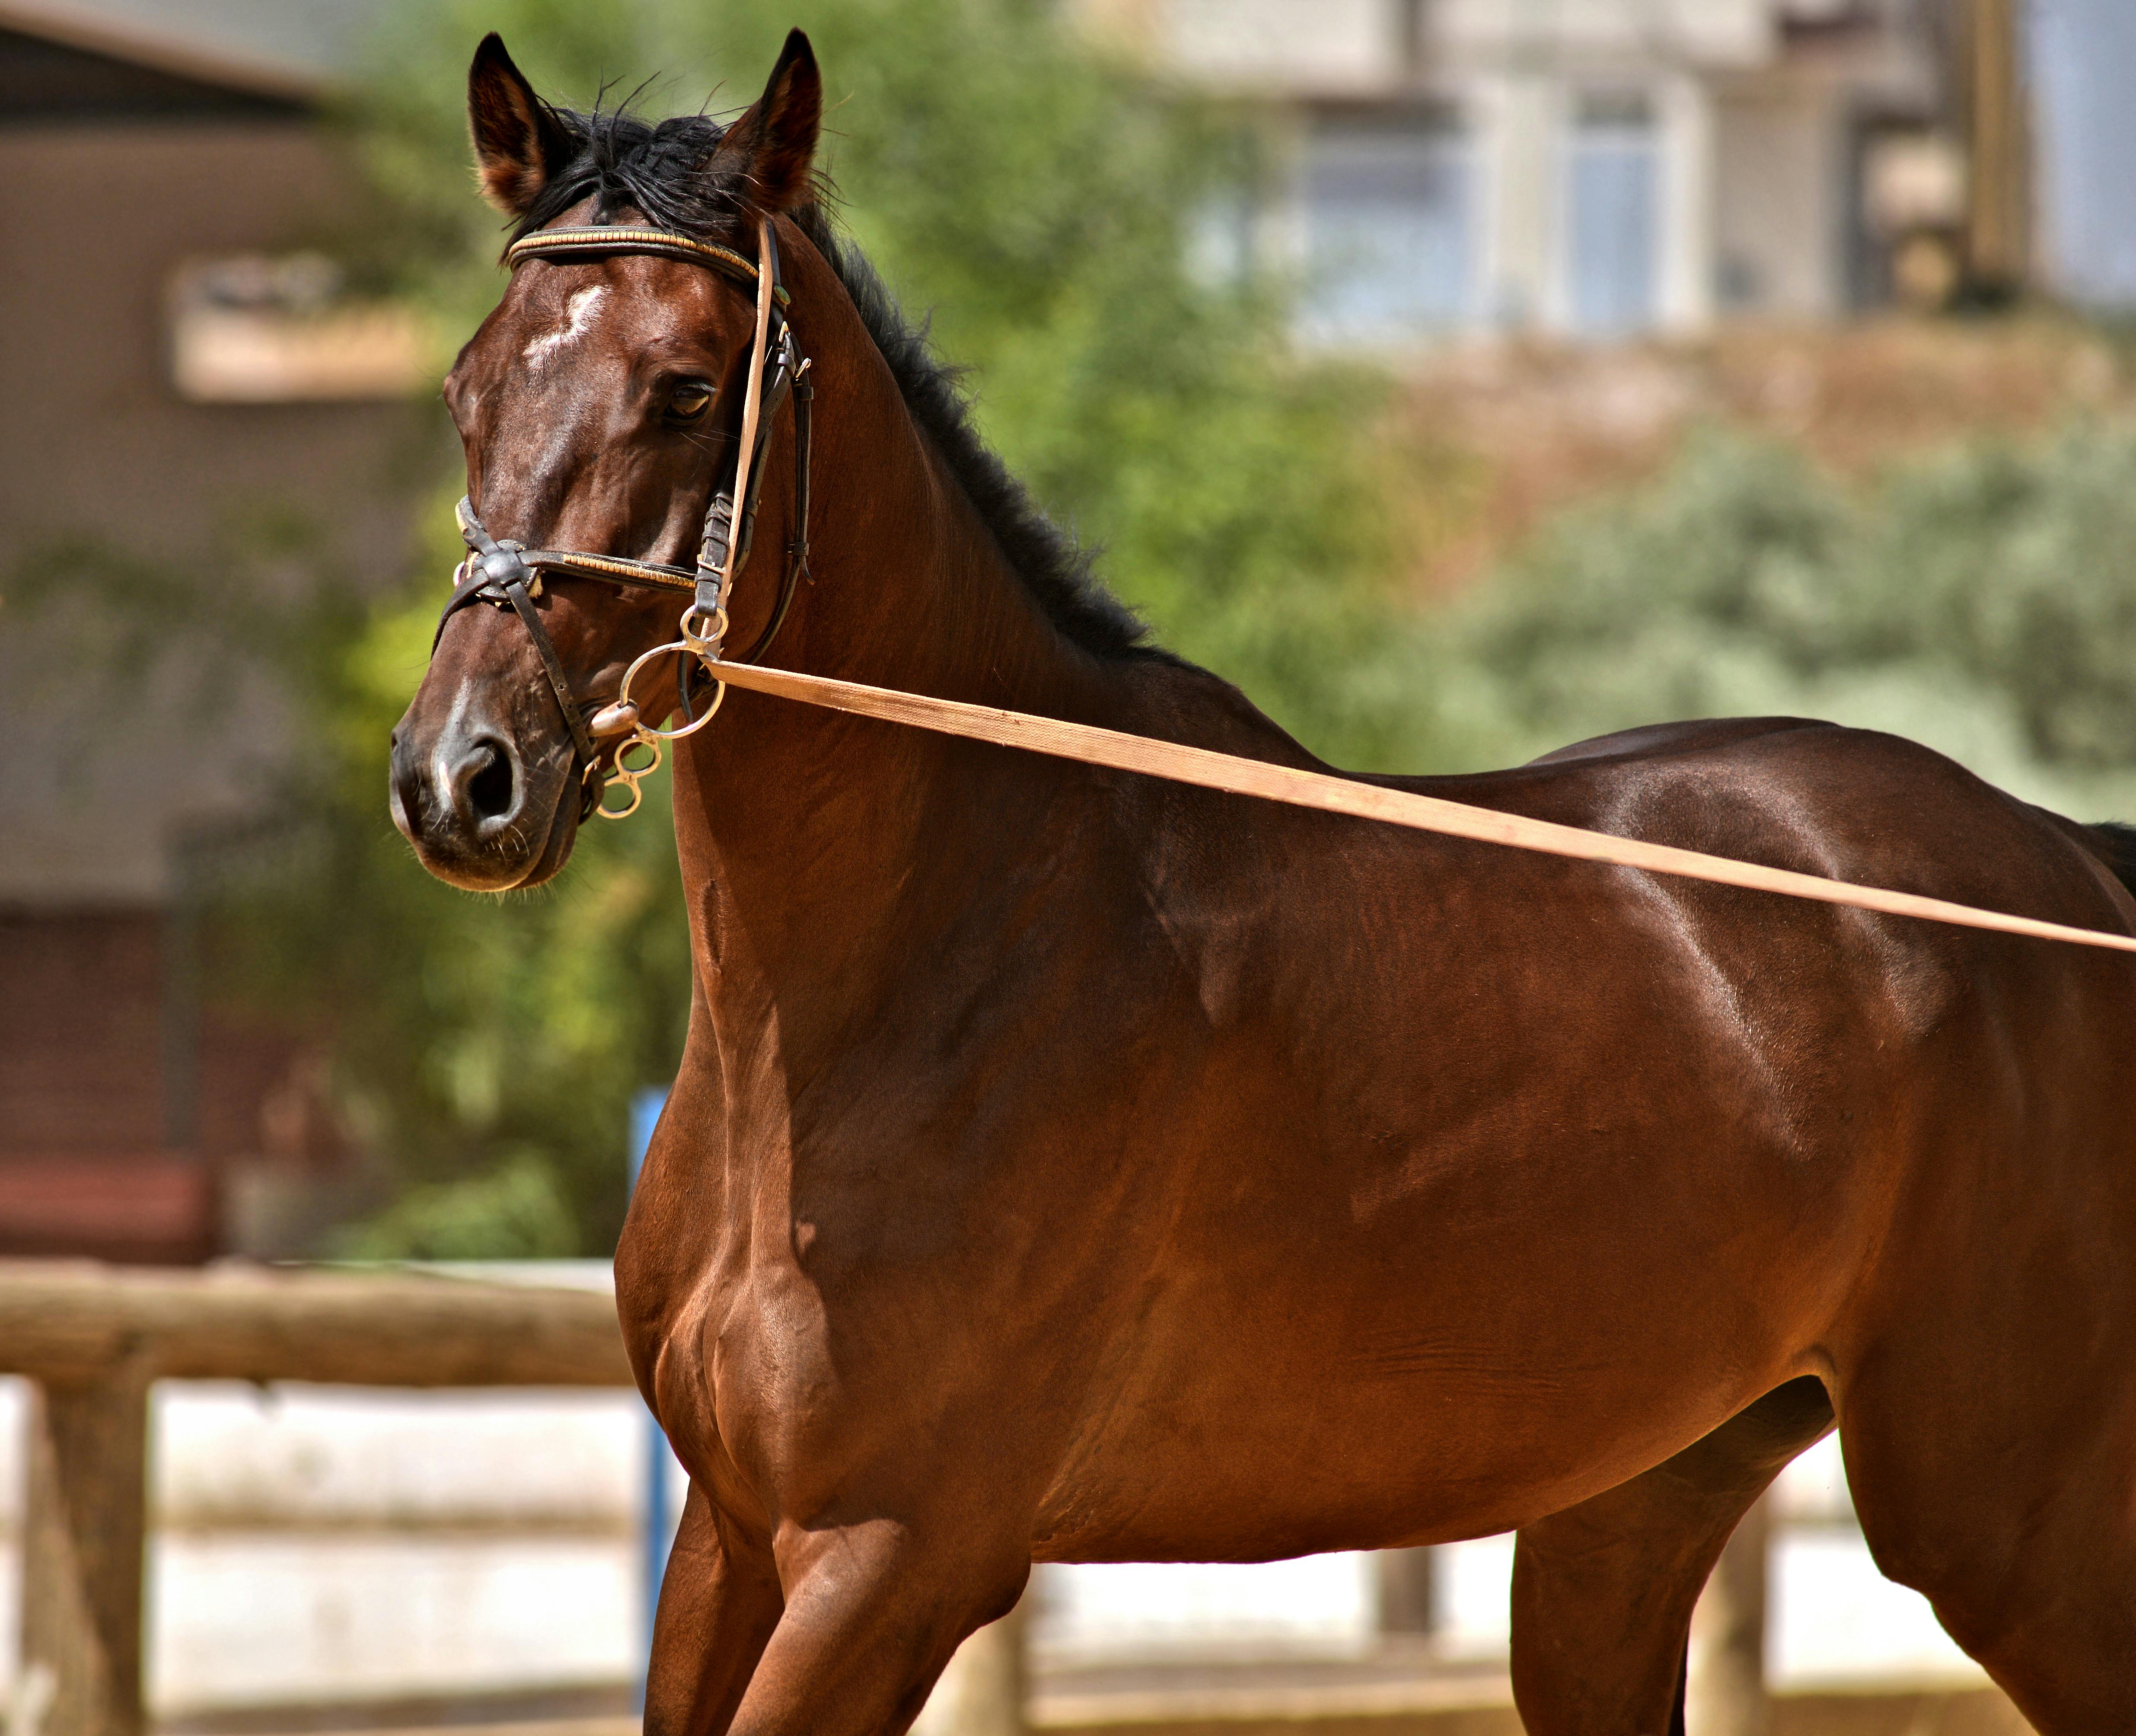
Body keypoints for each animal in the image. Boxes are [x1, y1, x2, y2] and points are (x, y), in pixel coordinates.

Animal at [390, 30, 2136, 1734]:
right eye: (469, 384)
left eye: (687, 389)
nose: (462, 778)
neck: (926, 958)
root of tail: (2072, 868)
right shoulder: (731, 1535)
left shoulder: (894, 1557)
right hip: (1631, 1510)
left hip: (2012, 1524)